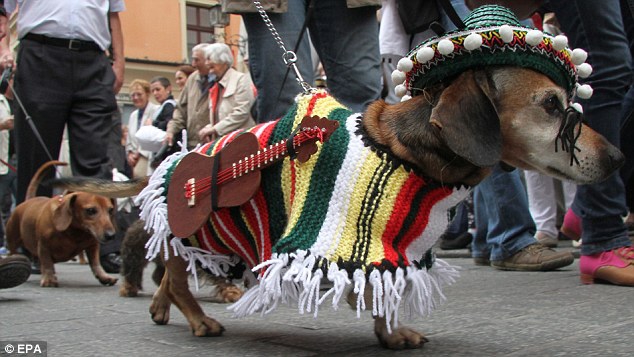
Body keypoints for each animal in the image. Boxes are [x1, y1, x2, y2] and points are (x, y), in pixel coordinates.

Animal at [53, 5, 624, 350]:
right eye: (551, 105)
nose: (619, 157)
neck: (408, 150)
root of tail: (169, 165)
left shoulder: (396, 246)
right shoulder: (361, 241)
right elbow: (377, 290)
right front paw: (391, 331)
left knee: (167, 280)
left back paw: (161, 309)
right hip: (194, 231)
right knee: (174, 278)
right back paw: (198, 319)